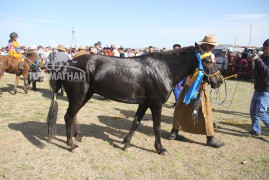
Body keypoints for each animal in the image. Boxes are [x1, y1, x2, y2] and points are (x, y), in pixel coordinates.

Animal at [46, 42, 222, 155]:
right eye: (207, 60)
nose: (219, 80)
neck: (163, 69)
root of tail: (68, 63)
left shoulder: (144, 104)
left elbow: (135, 122)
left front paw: (126, 143)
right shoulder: (156, 104)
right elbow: (156, 127)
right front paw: (160, 148)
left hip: (85, 95)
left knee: (73, 115)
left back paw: (79, 136)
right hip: (78, 96)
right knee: (68, 116)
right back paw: (71, 145)